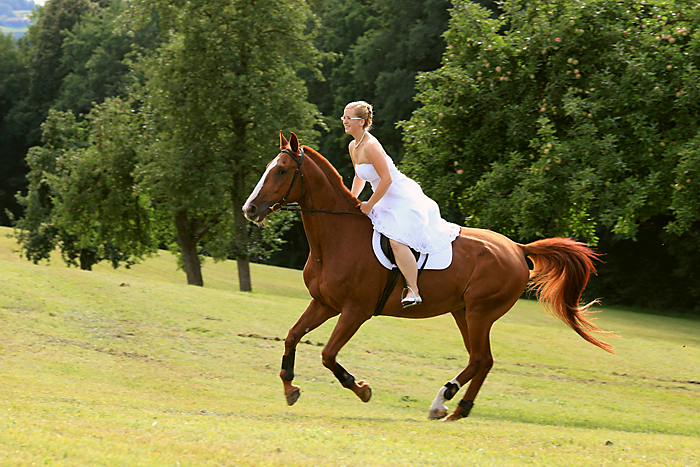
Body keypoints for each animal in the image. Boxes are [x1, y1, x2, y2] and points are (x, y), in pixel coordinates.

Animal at [242, 133, 612, 422]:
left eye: (282, 171)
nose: (250, 209)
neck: (336, 237)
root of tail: (517, 248)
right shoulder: (324, 303)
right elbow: (292, 336)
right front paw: (289, 386)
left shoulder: (355, 311)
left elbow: (328, 355)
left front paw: (361, 389)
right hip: (464, 312)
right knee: (482, 360)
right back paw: (456, 407)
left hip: (479, 312)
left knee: (481, 358)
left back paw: (444, 401)